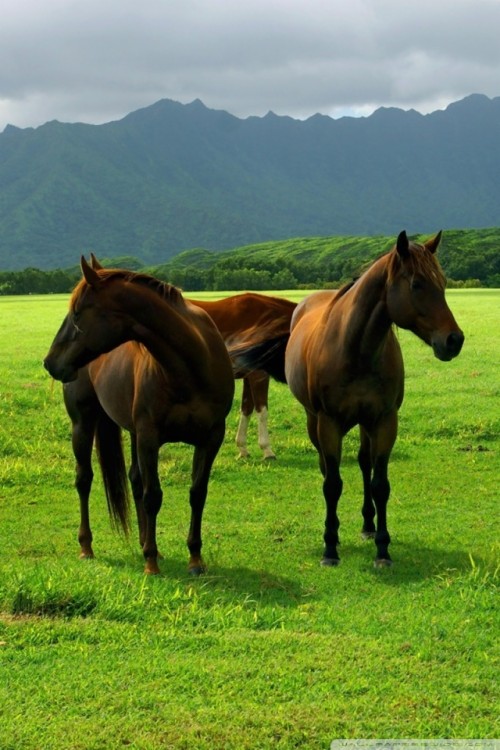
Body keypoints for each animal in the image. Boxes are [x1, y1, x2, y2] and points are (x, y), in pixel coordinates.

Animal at [43, 258, 234, 576]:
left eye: (77, 313)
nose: (50, 363)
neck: (191, 367)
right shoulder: (149, 437)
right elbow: (152, 495)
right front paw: (151, 563)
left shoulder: (210, 438)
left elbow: (197, 493)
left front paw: (195, 558)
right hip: (83, 424)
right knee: (84, 479)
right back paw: (87, 546)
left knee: (134, 478)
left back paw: (145, 540)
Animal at [188, 292, 296, 458]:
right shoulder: (259, 375)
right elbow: (262, 411)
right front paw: (267, 450)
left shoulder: (248, 376)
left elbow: (246, 409)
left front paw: (242, 448)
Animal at [234, 232, 464, 568]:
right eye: (417, 284)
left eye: (443, 282)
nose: (454, 340)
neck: (357, 349)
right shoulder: (329, 423)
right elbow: (332, 484)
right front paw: (330, 547)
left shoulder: (384, 421)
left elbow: (380, 484)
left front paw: (382, 548)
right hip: (314, 421)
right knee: (326, 469)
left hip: (365, 425)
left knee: (364, 463)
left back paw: (368, 525)